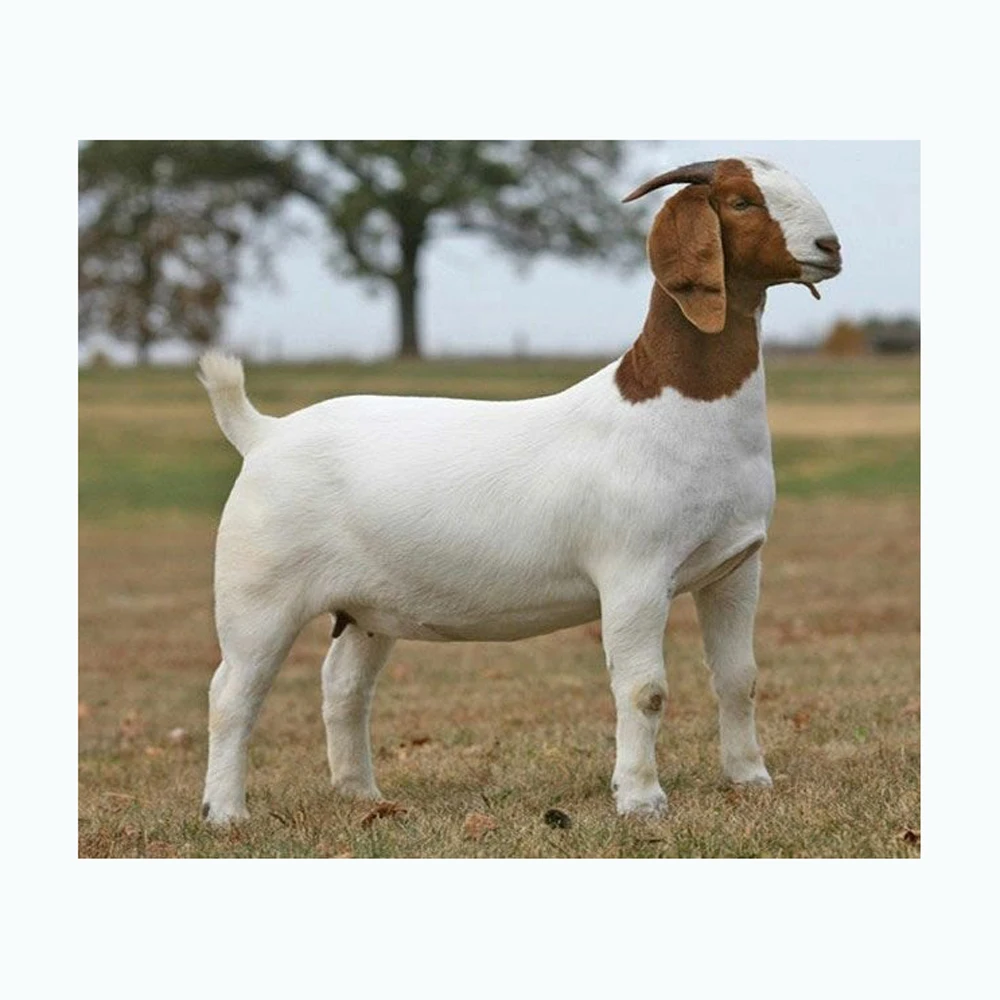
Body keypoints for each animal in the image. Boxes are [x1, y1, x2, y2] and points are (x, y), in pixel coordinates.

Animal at [197, 156, 842, 823]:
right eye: (741, 202)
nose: (830, 247)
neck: (678, 404)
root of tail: (264, 434)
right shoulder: (634, 574)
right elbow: (644, 690)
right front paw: (640, 799)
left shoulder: (735, 567)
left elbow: (739, 677)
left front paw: (751, 779)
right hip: (259, 591)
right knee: (233, 692)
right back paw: (226, 813)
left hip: (366, 608)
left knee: (344, 686)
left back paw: (362, 795)